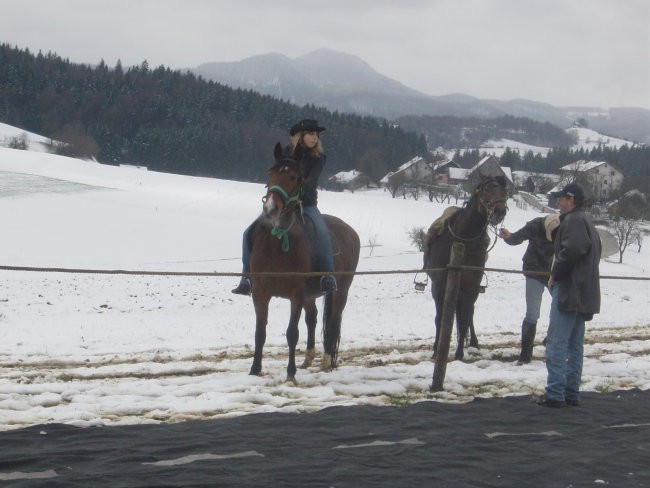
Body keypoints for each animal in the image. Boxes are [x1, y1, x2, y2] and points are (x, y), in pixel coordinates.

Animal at [247, 143, 360, 384]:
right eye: (270, 172)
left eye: (293, 176)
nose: (270, 209)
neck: (279, 242)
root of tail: (350, 231)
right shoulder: (260, 292)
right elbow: (260, 332)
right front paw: (254, 369)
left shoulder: (296, 295)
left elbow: (292, 333)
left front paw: (290, 374)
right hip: (311, 295)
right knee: (313, 318)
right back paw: (308, 359)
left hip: (340, 291)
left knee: (333, 323)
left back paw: (326, 362)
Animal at [422, 174, 508, 358]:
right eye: (486, 188)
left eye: (505, 190)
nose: (499, 211)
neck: (464, 241)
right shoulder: (439, 286)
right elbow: (440, 318)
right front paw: (436, 350)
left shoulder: (471, 287)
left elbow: (464, 319)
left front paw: (459, 353)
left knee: (467, 315)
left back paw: (473, 342)